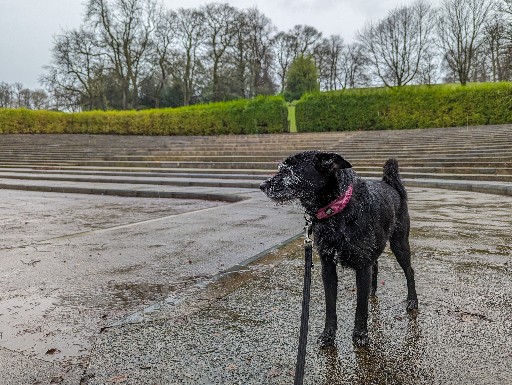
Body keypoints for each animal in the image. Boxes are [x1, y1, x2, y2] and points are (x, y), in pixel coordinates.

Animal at [260, 152, 416, 346]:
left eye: (289, 170)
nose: (262, 185)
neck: (337, 210)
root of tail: (390, 183)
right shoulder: (328, 267)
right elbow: (330, 305)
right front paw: (328, 334)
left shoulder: (362, 267)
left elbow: (361, 307)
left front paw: (360, 334)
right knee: (376, 265)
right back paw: (372, 291)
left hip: (399, 244)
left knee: (409, 271)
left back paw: (412, 301)